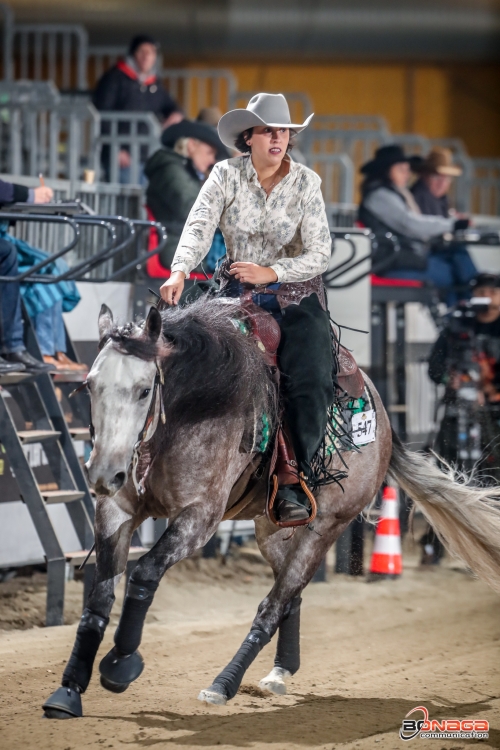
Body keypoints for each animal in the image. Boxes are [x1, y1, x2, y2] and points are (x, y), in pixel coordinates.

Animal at [43, 296, 500, 720]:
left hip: (325, 528)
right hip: (271, 528)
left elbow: (143, 574)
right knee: (290, 597)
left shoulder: (198, 517)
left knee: (273, 605)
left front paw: (120, 664)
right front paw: (69, 691)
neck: (199, 402)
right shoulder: (115, 510)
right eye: (90, 386)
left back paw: (223, 685)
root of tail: (384, 421)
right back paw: (281, 671)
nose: (104, 472)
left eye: (142, 390)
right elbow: (99, 598)